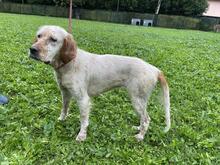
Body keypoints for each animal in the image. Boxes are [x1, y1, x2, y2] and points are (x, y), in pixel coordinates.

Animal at [28, 25, 170, 141]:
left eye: (53, 39)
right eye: (39, 36)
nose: (32, 50)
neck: (68, 63)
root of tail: (156, 70)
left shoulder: (83, 99)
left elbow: (84, 120)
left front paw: (82, 136)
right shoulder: (65, 93)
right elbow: (64, 109)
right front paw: (61, 120)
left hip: (137, 100)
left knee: (146, 119)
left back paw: (140, 136)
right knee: (143, 119)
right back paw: (138, 129)